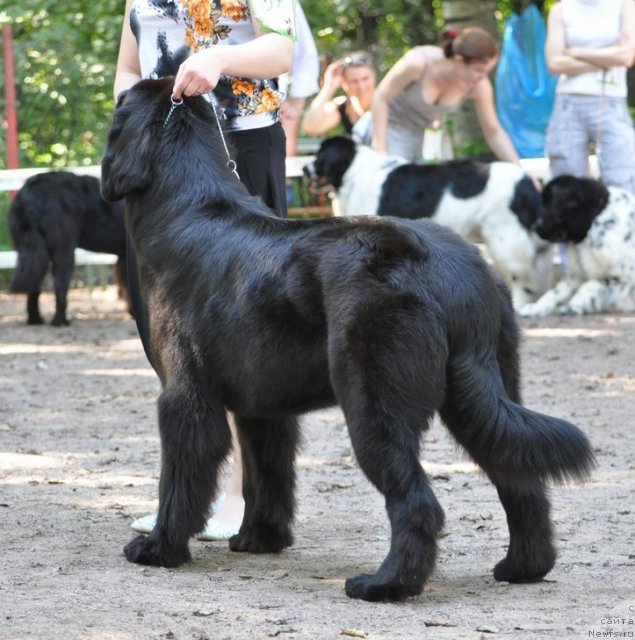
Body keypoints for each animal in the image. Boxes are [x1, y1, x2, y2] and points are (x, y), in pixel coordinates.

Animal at [7, 170, 130, 324]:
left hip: (30, 249)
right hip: (64, 250)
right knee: (60, 284)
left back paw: (35, 319)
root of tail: (29, 195)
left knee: (35, 285)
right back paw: (60, 321)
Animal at [306, 138, 556, 310]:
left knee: (521, 270)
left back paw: (522, 304)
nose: (305, 168)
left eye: (320, 157)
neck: (354, 172)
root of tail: (526, 182)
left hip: (505, 235)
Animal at [520, 175, 632, 316]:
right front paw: (535, 308)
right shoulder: (577, 276)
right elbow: (555, 292)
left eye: (550, 204)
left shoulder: (621, 278)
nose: (535, 227)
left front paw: (572, 307)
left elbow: (589, 286)